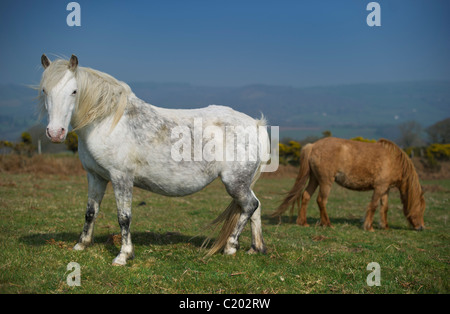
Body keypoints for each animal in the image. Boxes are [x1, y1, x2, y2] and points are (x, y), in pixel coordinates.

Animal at [38, 55, 268, 266]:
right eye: (44, 91)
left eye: (74, 91)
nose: (55, 133)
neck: (107, 121)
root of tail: (255, 124)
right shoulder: (96, 177)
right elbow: (90, 212)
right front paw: (81, 244)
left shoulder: (121, 177)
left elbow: (124, 217)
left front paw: (123, 256)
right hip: (243, 183)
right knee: (255, 207)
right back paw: (255, 248)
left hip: (234, 182)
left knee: (250, 206)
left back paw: (230, 246)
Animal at [270, 137, 426, 231]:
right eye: (421, 208)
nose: (421, 227)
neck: (393, 160)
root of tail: (313, 146)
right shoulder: (379, 188)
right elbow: (374, 206)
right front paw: (369, 227)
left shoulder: (385, 189)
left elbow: (384, 207)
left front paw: (385, 226)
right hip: (326, 181)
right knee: (321, 200)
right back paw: (327, 223)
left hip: (314, 179)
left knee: (306, 196)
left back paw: (303, 222)